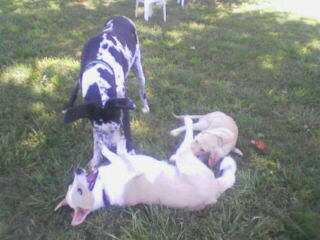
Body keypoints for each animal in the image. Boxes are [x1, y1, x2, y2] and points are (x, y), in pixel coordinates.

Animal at [54, 116, 235, 225]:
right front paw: (118, 146)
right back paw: (188, 120)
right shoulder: (135, 170)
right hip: (185, 158)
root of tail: (216, 190)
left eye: (72, 186)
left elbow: (113, 153)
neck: (104, 190)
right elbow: (122, 155)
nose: (77, 170)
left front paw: (105, 145)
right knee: (189, 139)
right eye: (78, 190)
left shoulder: (120, 162)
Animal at [62, 15, 150, 169]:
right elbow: (96, 141)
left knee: (142, 89)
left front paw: (131, 154)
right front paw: (96, 158)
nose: (113, 149)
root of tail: (121, 16)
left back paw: (145, 107)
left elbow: (128, 131)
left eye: (117, 126)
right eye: (99, 130)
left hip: (138, 68)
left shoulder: (123, 105)